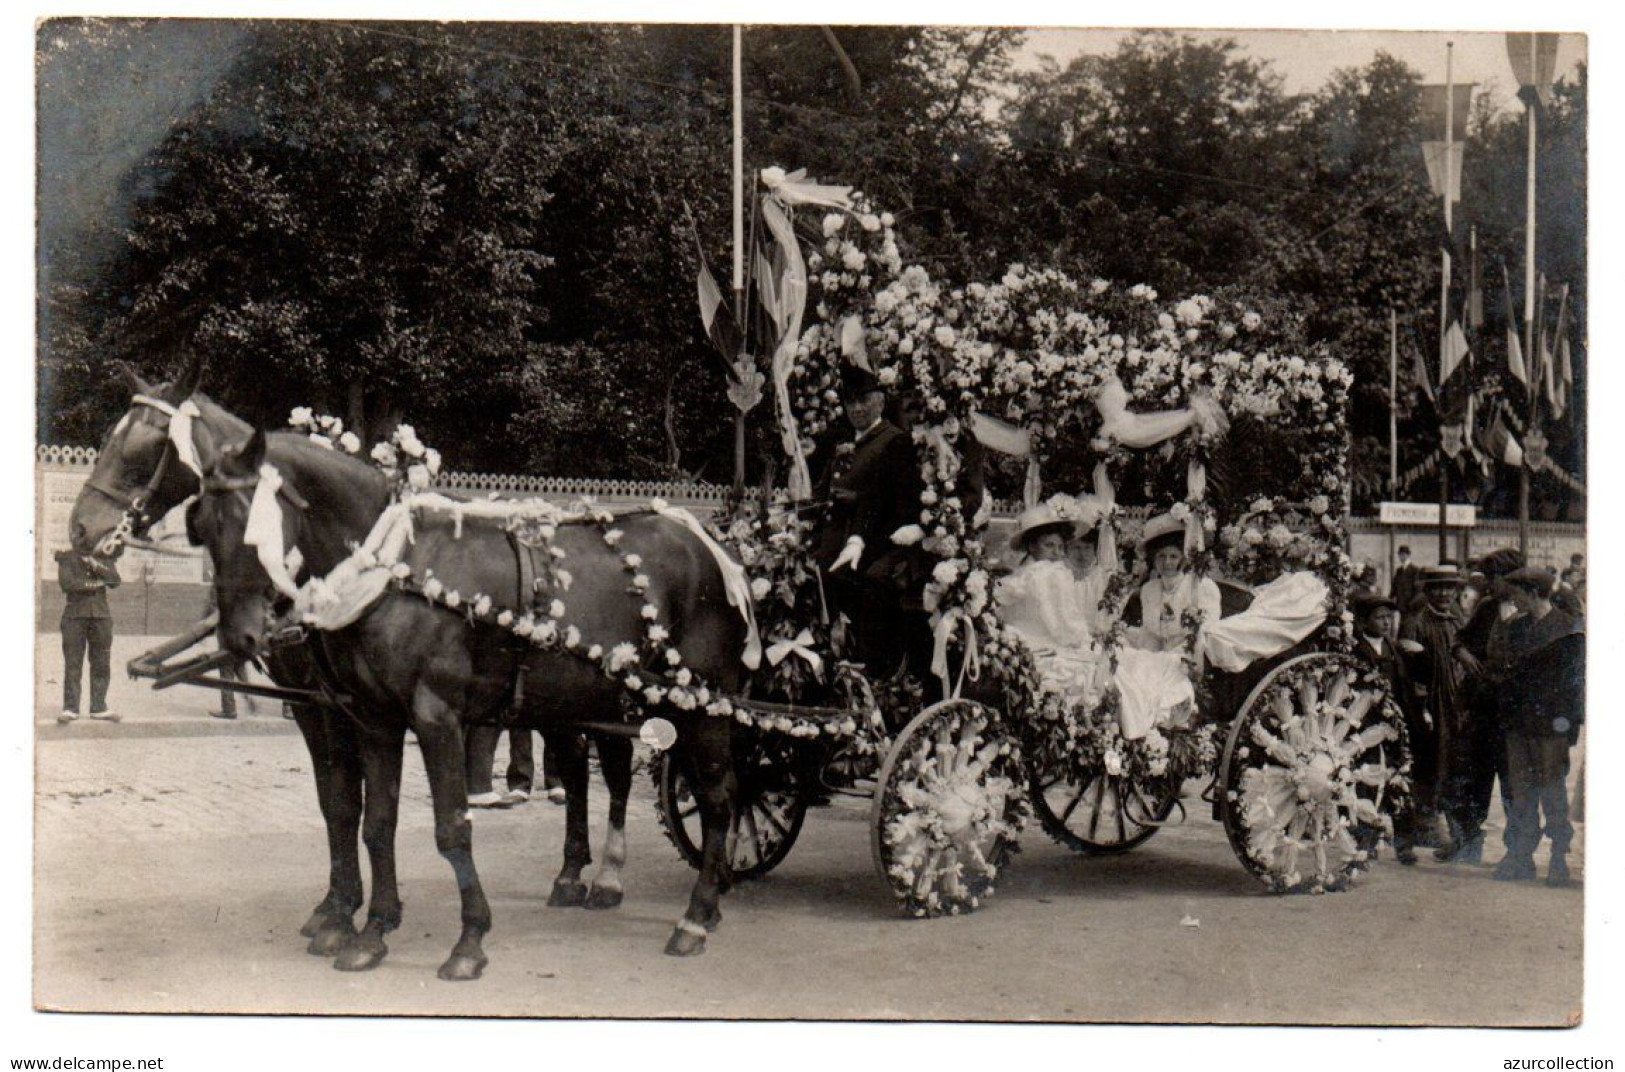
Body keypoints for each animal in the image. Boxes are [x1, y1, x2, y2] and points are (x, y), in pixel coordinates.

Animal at [190, 428, 744, 981]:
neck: (395, 567)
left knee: (716, 797)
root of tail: (710, 548)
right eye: (203, 526)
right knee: (614, 777)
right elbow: (373, 822)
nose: (239, 636)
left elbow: (450, 827)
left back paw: (695, 915)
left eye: (251, 525)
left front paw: (468, 940)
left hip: (700, 702)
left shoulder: (434, 718)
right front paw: (371, 930)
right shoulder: (371, 718)